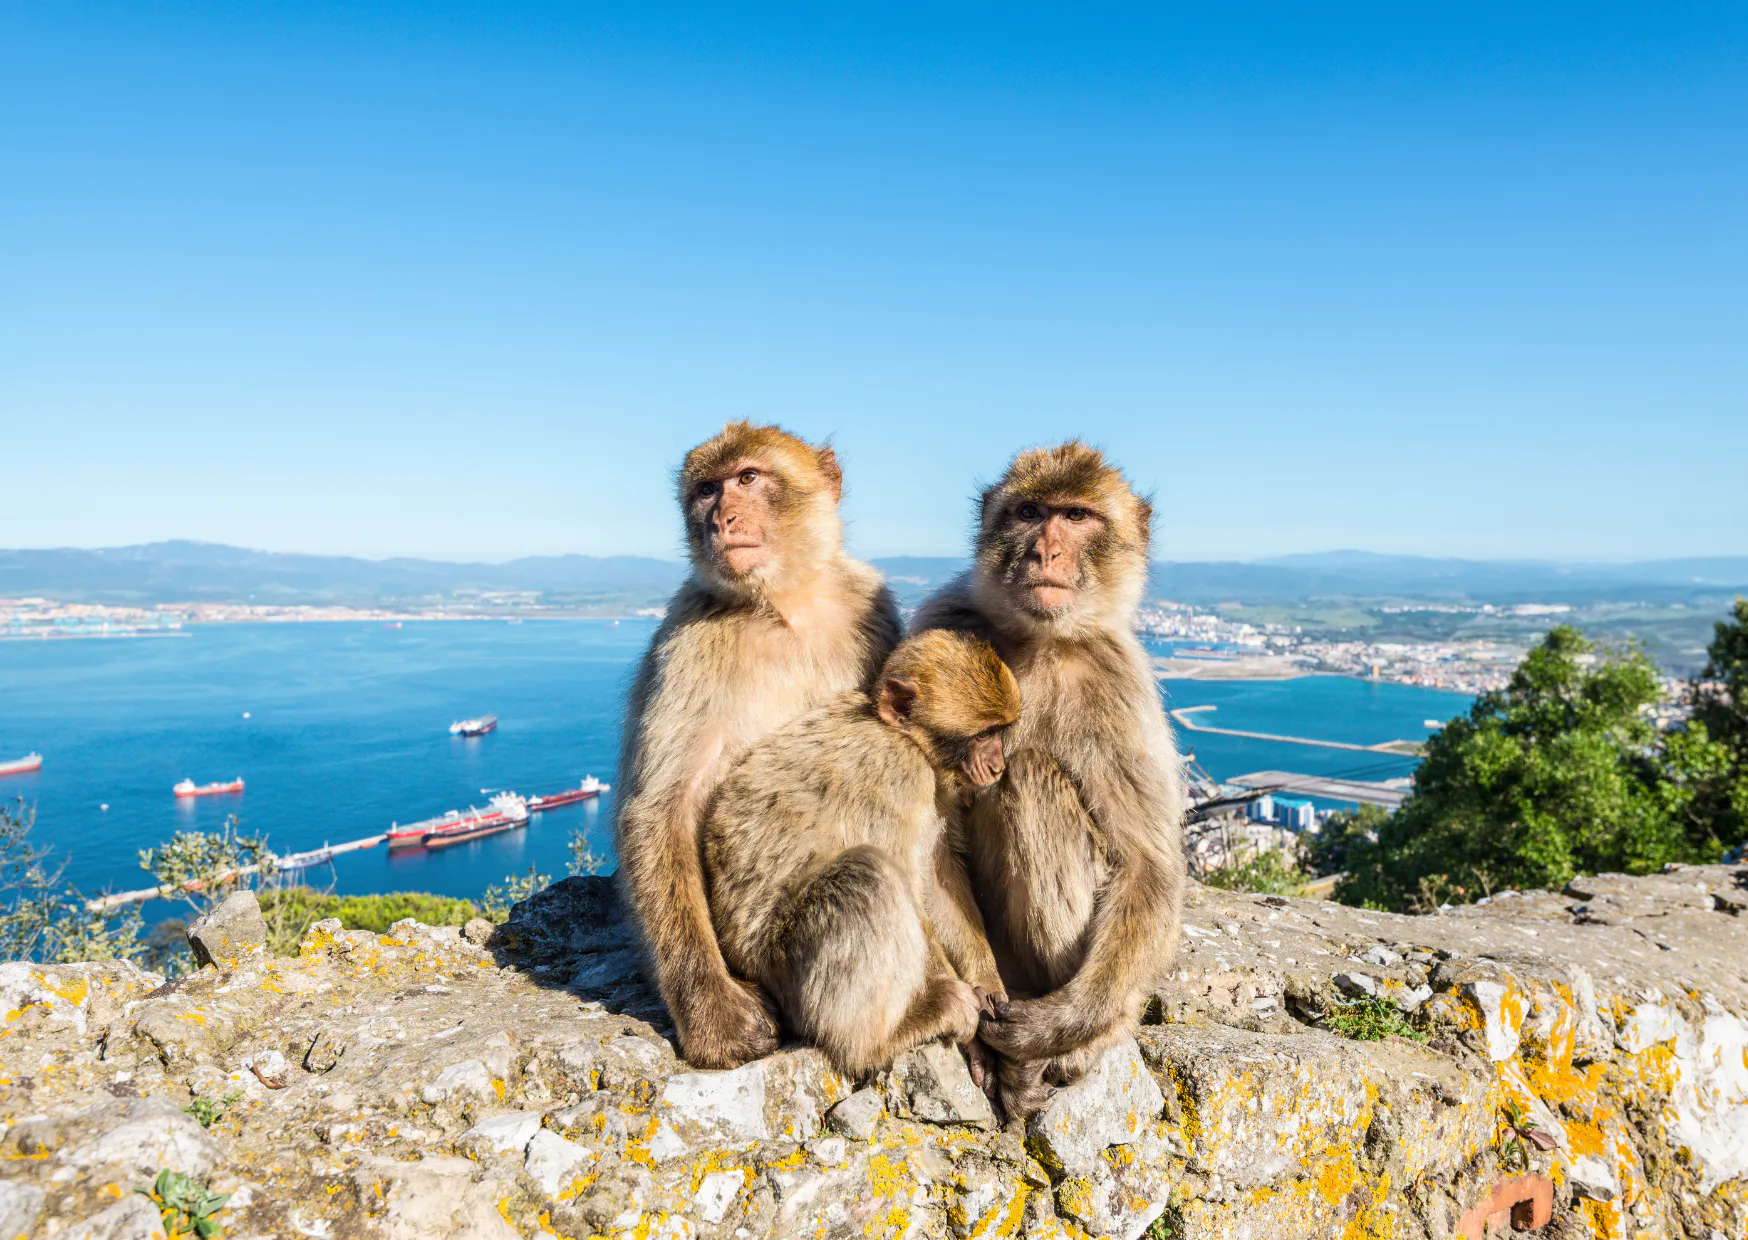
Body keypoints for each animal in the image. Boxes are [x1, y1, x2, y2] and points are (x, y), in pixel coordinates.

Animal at [614, 422, 902, 1069]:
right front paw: (714, 1014)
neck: (785, 607)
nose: (720, 518)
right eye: (706, 490)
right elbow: (662, 809)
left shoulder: (874, 607)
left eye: (747, 478)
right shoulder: (687, 644)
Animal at [701, 629, 1020, 1075]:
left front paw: (987, 983)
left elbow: (938, 878)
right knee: (866, 874)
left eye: (999, 731)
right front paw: (964, 1019)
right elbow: (909, 885)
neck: (908, 741)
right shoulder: (900, 773)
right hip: (782, 963)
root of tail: (739, 959)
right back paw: (880, 1040)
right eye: (980, 735)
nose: (996, 766)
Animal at [910, 441, 1186, 1118]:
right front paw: (976, 1007)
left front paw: (1060, 1025)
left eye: (1078, 516)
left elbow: (1147, 864)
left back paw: (1055, 1048)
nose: (1045, 551)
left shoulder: (1119, 680)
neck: (1040, 640)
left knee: (1031, 775)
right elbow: (928, 848)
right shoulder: (940, 621)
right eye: (1031, 512)